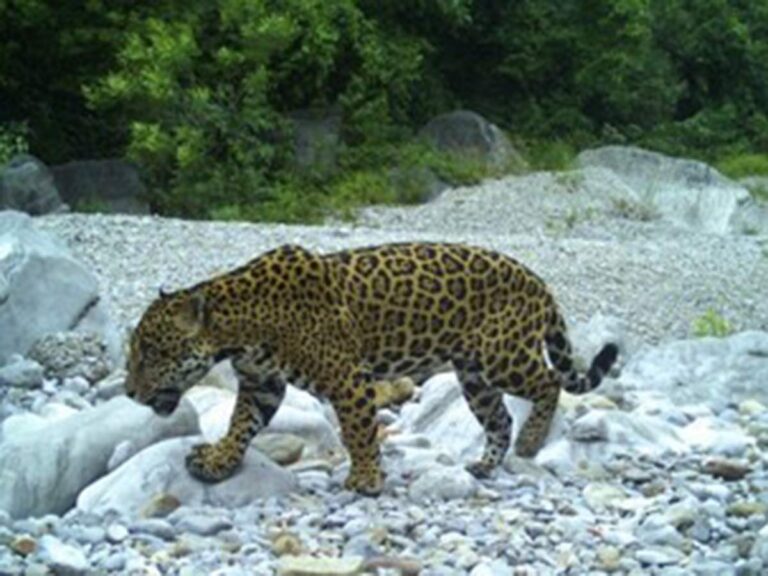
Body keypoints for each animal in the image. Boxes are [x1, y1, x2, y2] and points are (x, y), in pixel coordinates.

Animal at [126, 242, 618, 495]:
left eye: (149, 352)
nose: (129, 392)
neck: (239, 325)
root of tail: (538, 281)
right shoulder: (261, 383)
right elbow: (241, 424)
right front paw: (218, 460)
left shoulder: (348, 378)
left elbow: (359, 431)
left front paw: (365, 478)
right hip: (474, 375)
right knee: (499, 418)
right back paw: (483, 466)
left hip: (504, 356)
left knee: (550, 382)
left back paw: (533, 441)